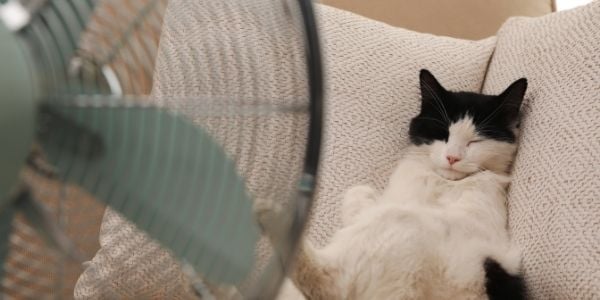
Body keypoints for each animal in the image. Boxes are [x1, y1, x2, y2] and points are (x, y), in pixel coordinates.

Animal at [256, 69, 524, 298]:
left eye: (475, 141)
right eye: (442, 133)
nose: (452, 157)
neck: (441, 183)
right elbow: (359, 199)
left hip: (406, 228)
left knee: (329, 285)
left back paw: (271, 214)